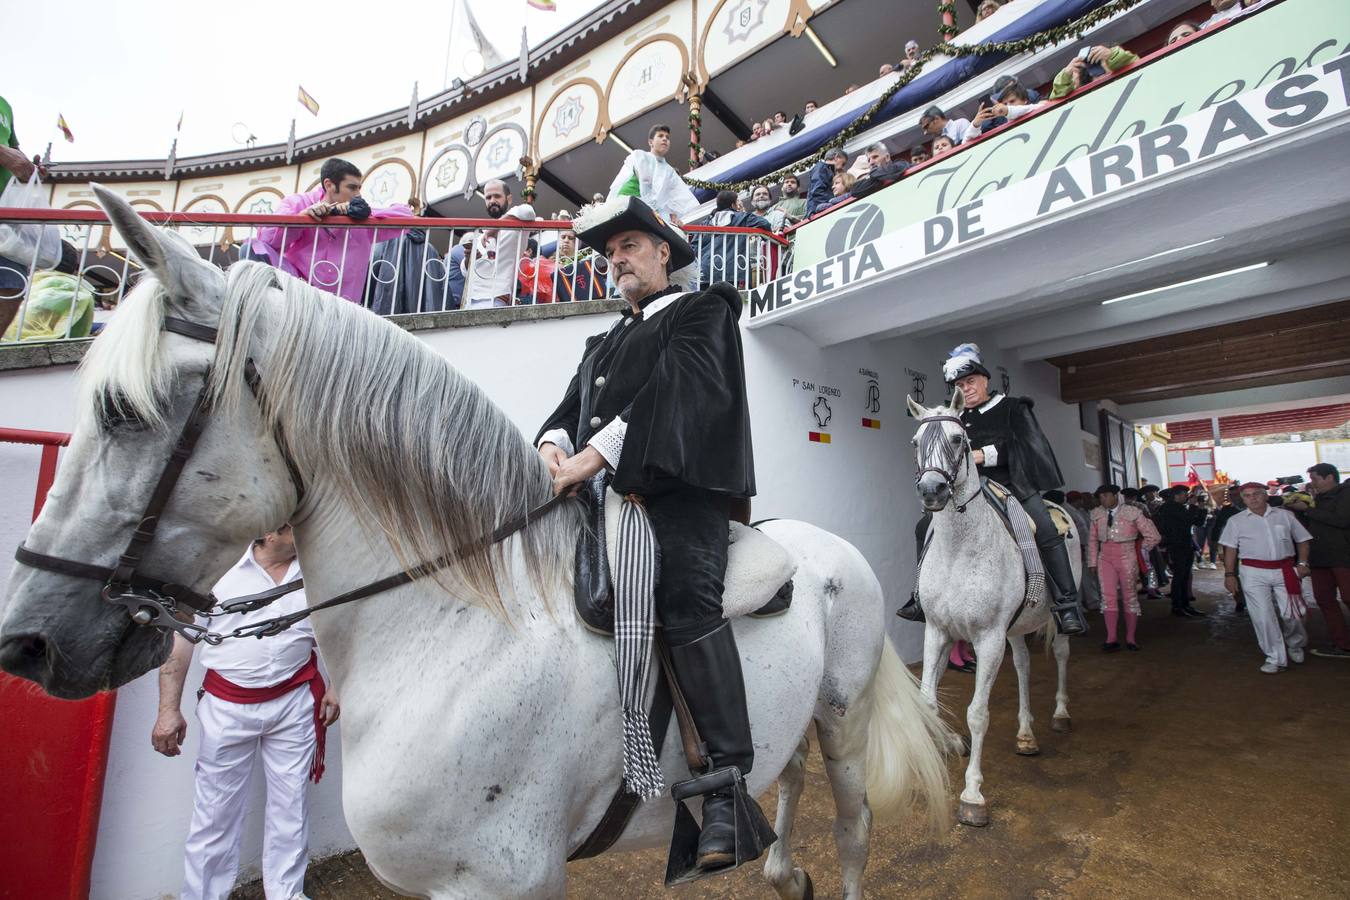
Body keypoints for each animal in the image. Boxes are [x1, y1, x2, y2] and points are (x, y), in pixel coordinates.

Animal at [0, 191, 950, 900]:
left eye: (121, 412)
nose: (28, 643)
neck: (460, 630)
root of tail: (826, 548)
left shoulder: (506, 879)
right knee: (785, 779)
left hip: (843, 715)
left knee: (853, 826)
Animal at [907, 391, 1074, 825]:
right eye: (915, 442)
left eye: (958, 440)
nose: (932, 490)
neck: (959, 547)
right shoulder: (939, 630)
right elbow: (927, 700)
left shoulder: (988, 637)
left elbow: (978, 713)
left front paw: (972, 795)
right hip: (1014, 630)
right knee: (1023, 666)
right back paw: (1026, 735)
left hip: (1049, 620)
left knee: (1061, 653)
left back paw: (1060, 714)